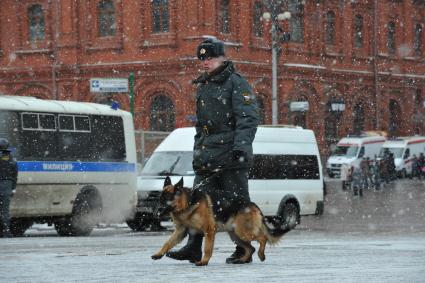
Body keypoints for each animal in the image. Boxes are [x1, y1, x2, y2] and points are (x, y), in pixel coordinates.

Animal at [152, 178, 292, 266]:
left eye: (166, 199)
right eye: (159, 199)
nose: (155, 212)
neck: (188, 203)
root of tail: (253, 205)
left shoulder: (209, 230)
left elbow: (207, 248)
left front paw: (204, 262)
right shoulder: (181, 231)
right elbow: (167, 243)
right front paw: (158, 254)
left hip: (242, 232)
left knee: (263, 238)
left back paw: (261, 255)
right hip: (235, 236)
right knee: (250, 248)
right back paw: (241, 260)